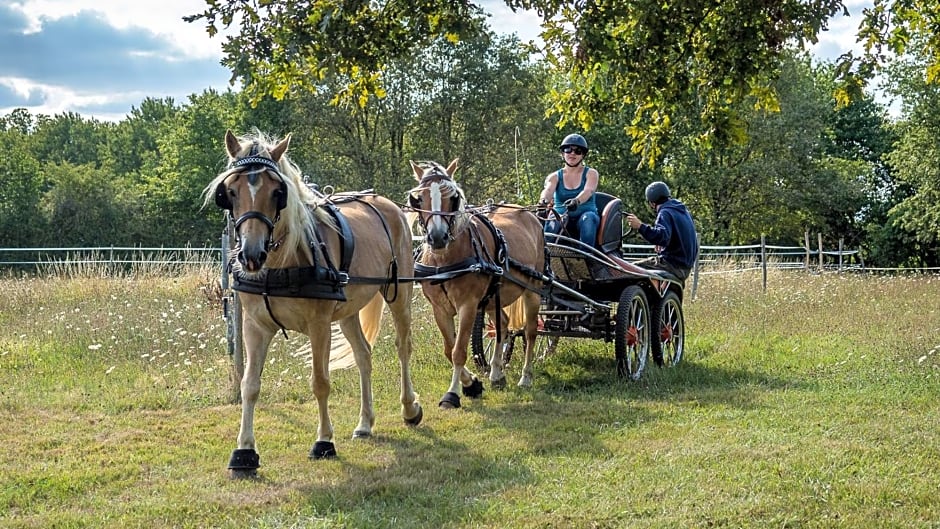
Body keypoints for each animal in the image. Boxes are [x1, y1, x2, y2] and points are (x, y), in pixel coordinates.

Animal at [209, 130, 426, 476]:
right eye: (230, 191)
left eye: (277, 192)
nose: (252, 255)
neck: (281, 264)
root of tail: (385, 203)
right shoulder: (255, 326)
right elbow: (249, 385)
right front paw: (244, 451)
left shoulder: (319, 324)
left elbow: (320, 382)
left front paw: (324, 441)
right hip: (349, 309)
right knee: (364, 355)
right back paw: (365, 423)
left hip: (399, 294)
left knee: (403, 346)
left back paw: (409, 408)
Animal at [410, 159, 548, 406]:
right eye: (419, 198)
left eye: (453, 197)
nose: (437, 237)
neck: (445, 260)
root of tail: (530, 215)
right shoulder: (439, 308)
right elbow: (449, 349)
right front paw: (473, 383)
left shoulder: (469, 305)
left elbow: (459, 351)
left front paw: (453, 393)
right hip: (493, 297)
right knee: (503, 325)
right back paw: (496, 373)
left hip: (533, 289)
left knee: (531, 332)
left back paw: (525, 377)